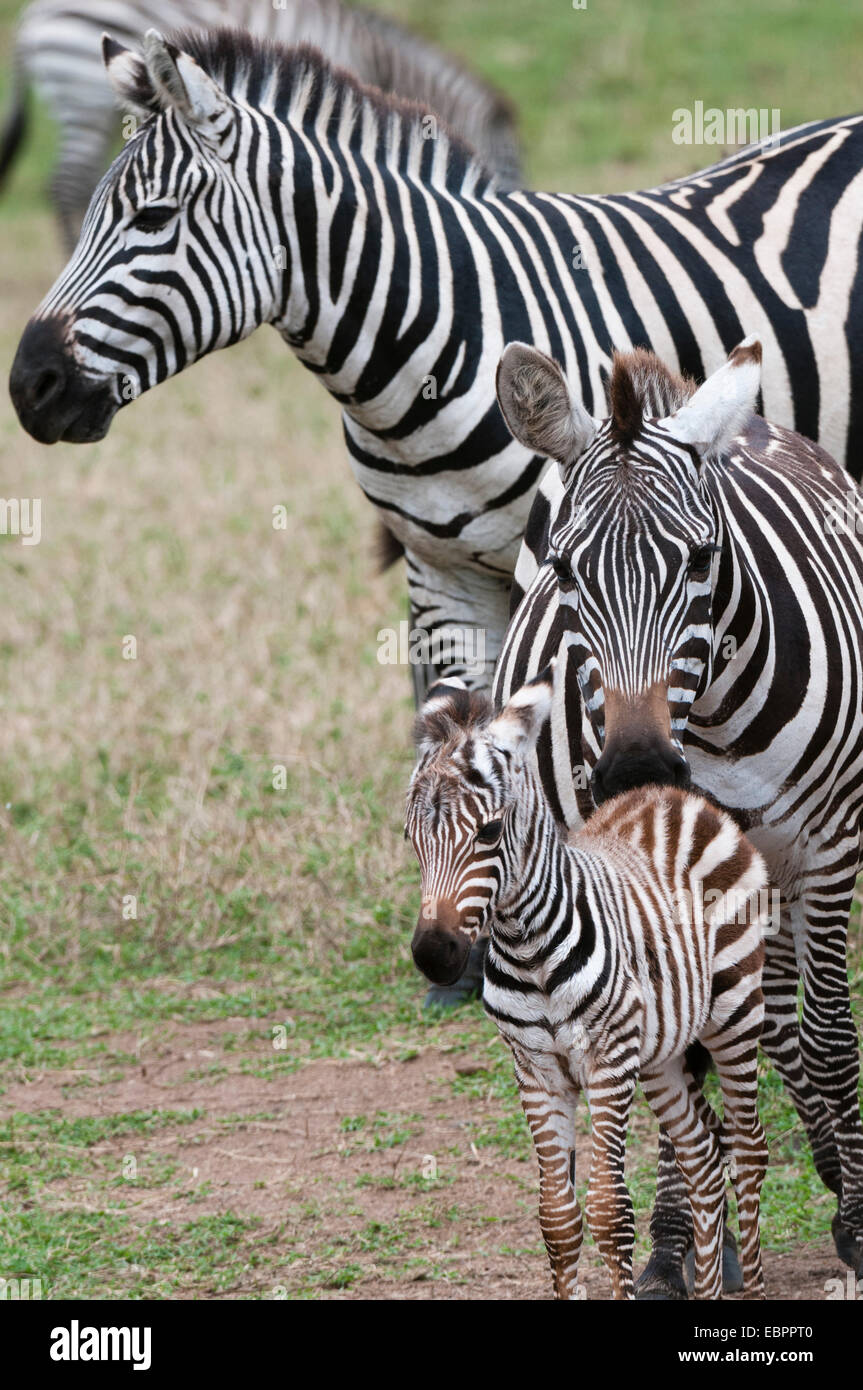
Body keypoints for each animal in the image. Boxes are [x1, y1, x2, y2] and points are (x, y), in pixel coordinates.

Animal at [403, 667, 767, 1295]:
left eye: (489, 832)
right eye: (411, 838)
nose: (435, 956)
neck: (529, 949)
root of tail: (671, 795)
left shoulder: (606, 1062)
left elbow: (608, 1212)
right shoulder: (535, 1069)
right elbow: (558, 1217)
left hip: (735, 1015)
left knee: (748, 1153)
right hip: (661, 1052)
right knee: (702, 1153)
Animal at [491, 333, 861, 1289]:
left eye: (699, 560)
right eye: (566, 569)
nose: (635, 766)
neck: (716, 730)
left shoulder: (829, 850)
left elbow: (828, 1033)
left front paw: (855, 1222)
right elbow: (684, 1050)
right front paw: (675, 1240)